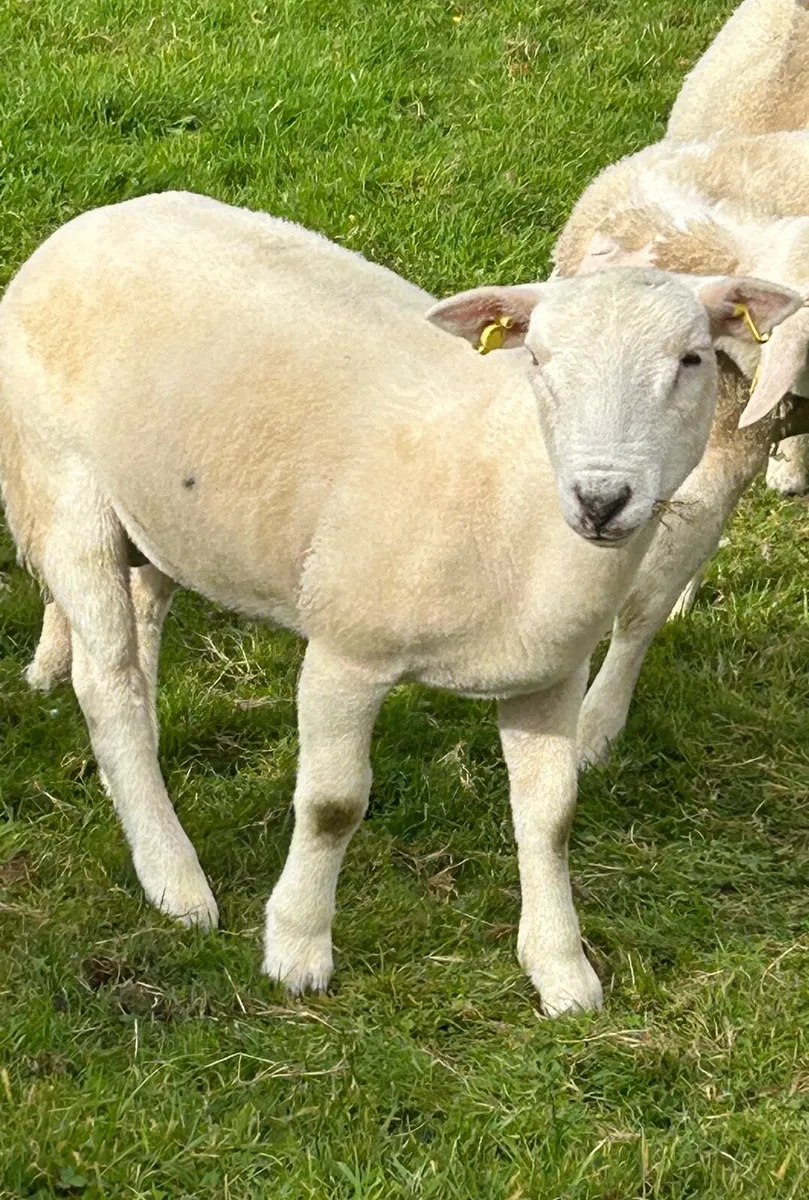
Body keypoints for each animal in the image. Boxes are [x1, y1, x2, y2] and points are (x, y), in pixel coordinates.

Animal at [1, 192, 796, 1015]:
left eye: (691, 360)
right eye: (539, 360)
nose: (601, 498)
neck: (506, 487)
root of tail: (97, 218)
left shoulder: (549, 675)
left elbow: (550, 818)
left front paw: (560, 969)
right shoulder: (346, 651)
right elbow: (333, 806)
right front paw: (297, 950)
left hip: (164, 518)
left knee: (140, 640)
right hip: (63, 487)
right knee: (108, 682)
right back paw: (174, 875)